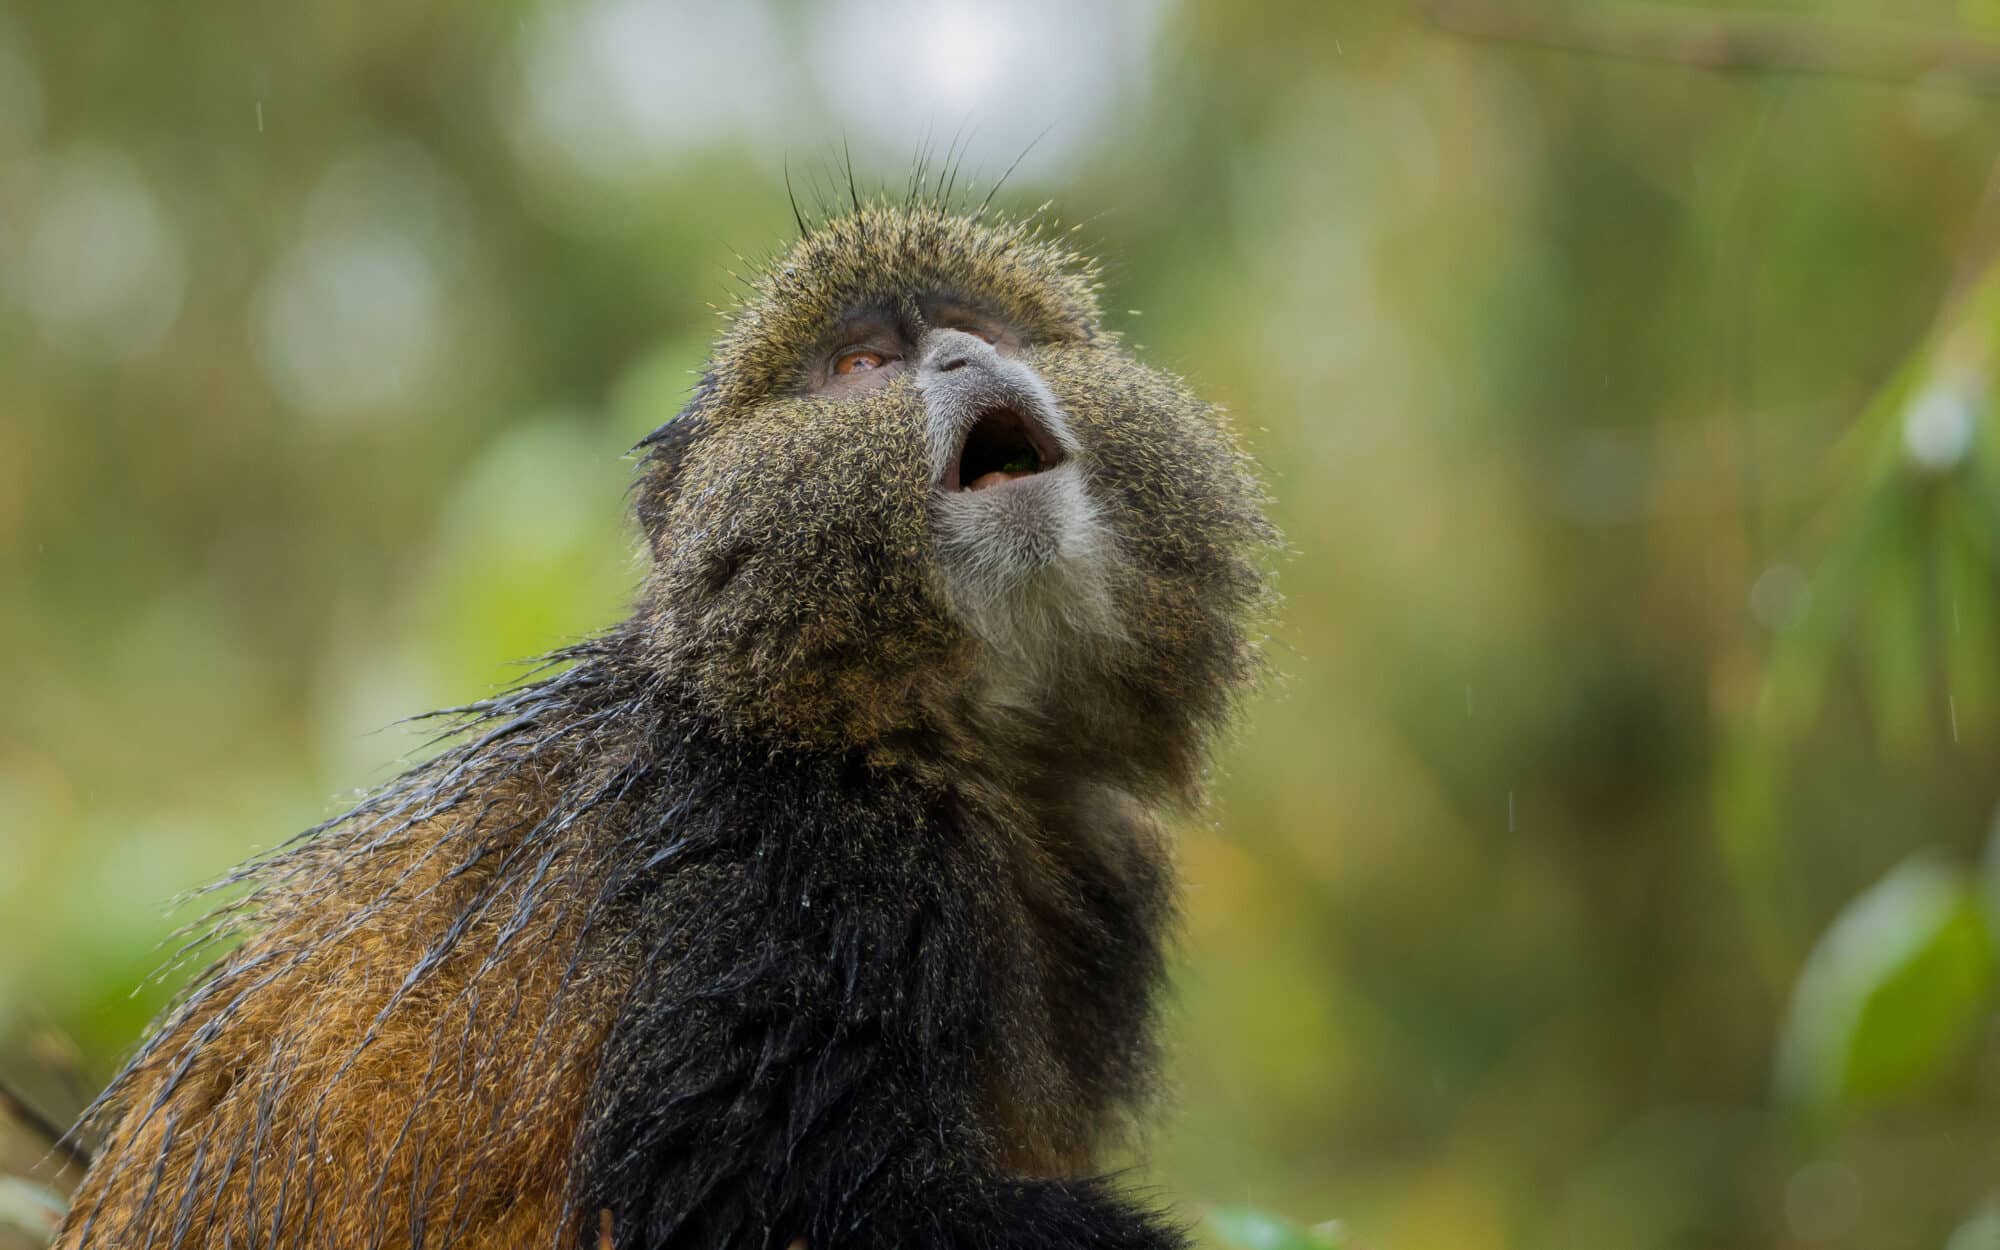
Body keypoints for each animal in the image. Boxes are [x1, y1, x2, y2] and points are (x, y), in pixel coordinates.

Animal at [51, 196, 1273, 1250]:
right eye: (863, 368)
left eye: (973, 330)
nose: (966, 362)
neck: (901, 730)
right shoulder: (784, 877)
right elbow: (759, 1207)